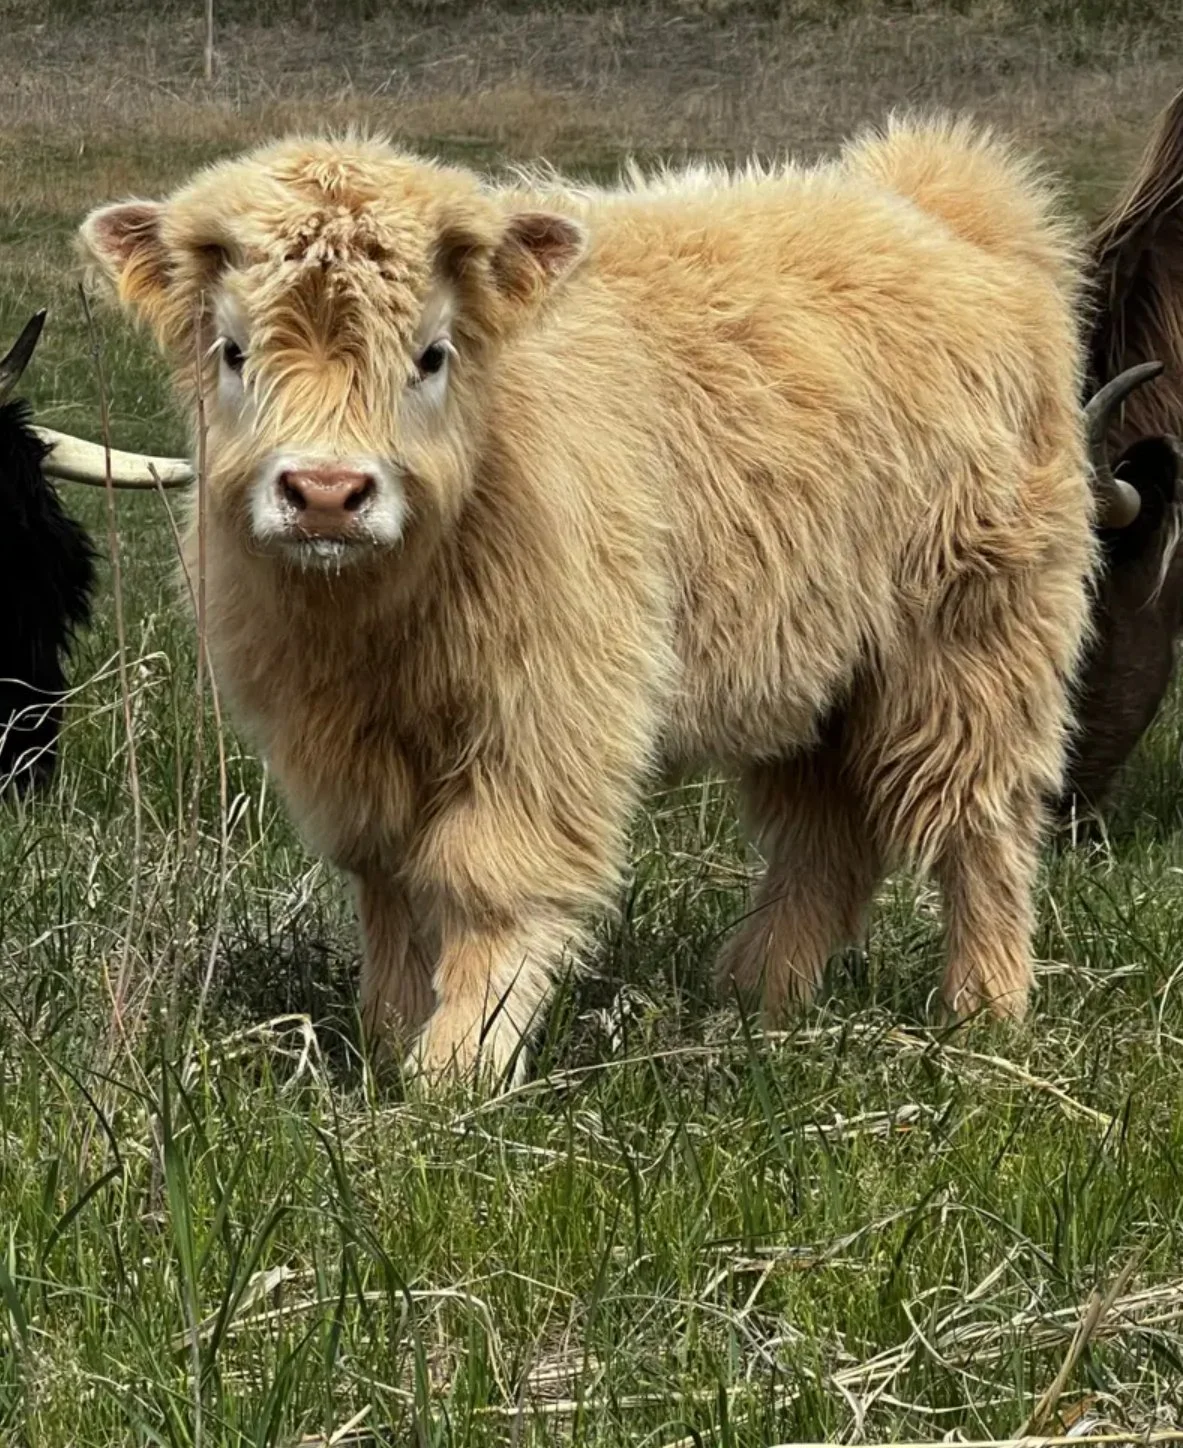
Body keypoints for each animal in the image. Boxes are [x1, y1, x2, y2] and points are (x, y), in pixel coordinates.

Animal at [77, 117, 1103, 1088]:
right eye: (233, 351)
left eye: (431, 355)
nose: (326, 493)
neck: (375, 618)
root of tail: (937, 208)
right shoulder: (330, 736)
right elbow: (386, 879)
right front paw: (386, 1031)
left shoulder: (547, 713)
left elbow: (491, 879)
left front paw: (456, 1066)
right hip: (812, 673)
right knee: (826, 841)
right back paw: (754, 999)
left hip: (974, 641)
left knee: (981, 821)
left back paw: (982, 1012)